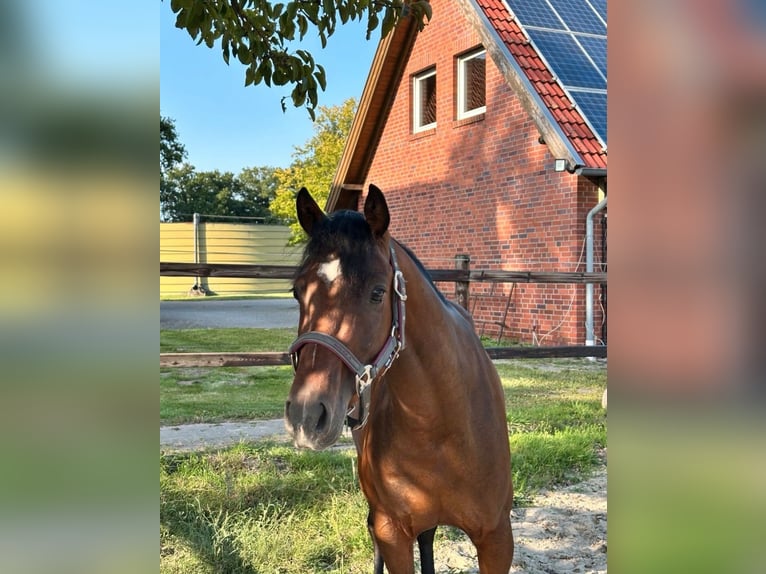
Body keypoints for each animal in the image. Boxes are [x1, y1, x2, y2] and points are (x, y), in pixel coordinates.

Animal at [284, 184, 514, 573]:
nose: (306, 415)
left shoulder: (497, 538)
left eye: (378, 292)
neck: (441, 426)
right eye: (298, 291)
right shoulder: (391, 531)